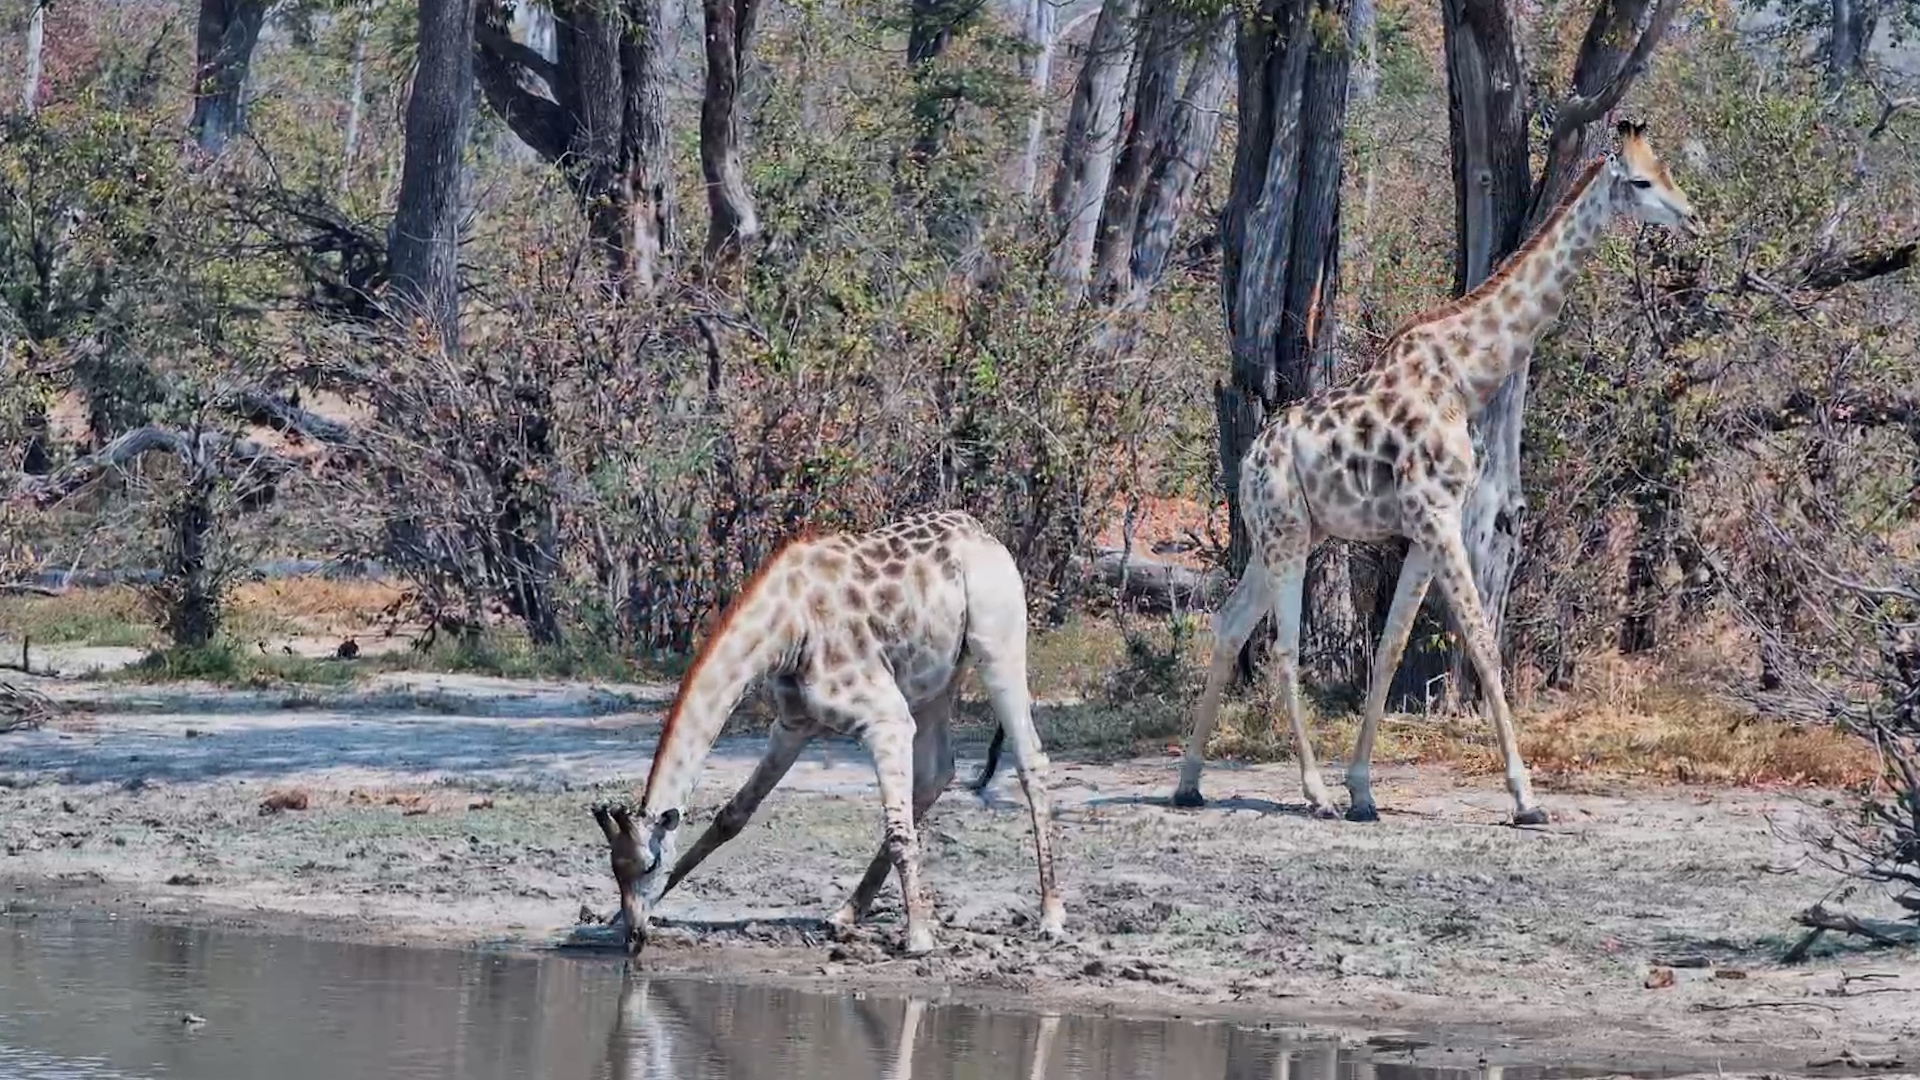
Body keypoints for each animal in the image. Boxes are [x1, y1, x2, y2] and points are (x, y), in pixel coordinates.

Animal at [591, 509, 1066, 957]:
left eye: (649, 865)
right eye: (614, 868)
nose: (634, 936)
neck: (787, 627)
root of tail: (985, 537)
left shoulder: (885, 719)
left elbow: (899, 832)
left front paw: (919, 936)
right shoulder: (793, 725)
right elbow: (732, 815)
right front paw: (613, 917)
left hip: (997, 641)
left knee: (1029, 758)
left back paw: (1051, 917)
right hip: (937, 679)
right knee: (938, 772)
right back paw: (845, 913)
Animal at [1171, 121, 1696, 825]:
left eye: (1666, 171)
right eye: (1640, 182)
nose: (1690, 216)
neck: (1466, 377)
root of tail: (1252, 458)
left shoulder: (1423, 529)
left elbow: (1392, 647)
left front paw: (1364, 790)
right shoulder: (1438, 517)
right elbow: (1481, 639)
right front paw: (1526, 798)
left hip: (1284, 533)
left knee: (1230, 624)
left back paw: (1189, 782)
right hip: (1285, 535)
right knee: (1282, 645)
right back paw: (1311, 793)